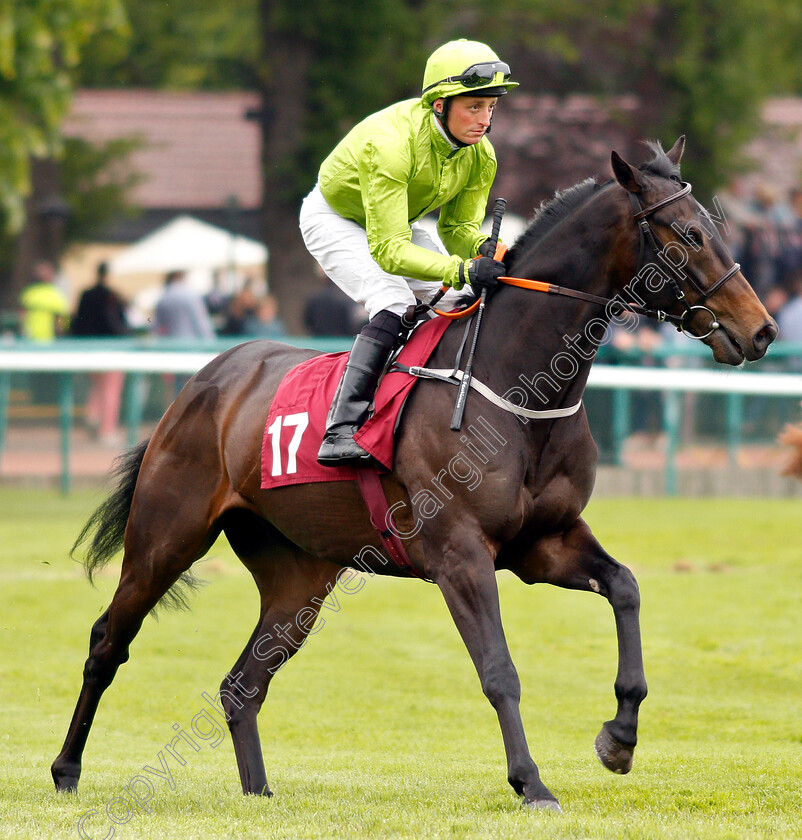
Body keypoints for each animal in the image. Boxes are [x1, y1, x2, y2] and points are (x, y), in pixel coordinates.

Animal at [51, 139, 776, 812]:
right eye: (687, 234)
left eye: (717, 224)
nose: (763, 330)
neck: (517, 389)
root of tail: (206, 377)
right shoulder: (460, 554)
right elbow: (499, 670)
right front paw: (532, 783)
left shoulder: (544, 543)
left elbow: (625, 588)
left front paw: (619, 738)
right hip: (165, 537)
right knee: (107, 642)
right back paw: (66, 771)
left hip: (298, 577)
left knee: (241, 686)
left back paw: (258, 793)